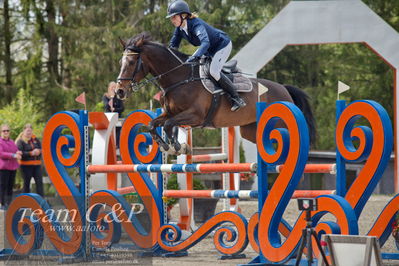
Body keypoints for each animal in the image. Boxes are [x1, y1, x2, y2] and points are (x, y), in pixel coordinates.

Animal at [115, 32, 316, 155]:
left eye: (131, 63)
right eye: (120, 62)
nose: (119, 91)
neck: (180, 79)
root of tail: (284, 88)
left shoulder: (195, 116)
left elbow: (168, 124)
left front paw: (176, 146)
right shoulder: (169, 113)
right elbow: (152, 124)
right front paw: (166, 146)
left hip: (280, 122)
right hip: (250, 130)